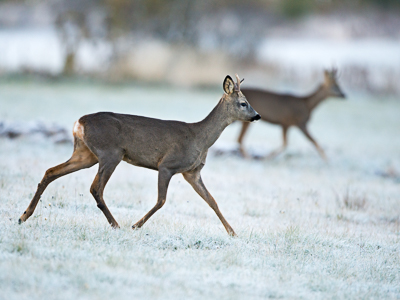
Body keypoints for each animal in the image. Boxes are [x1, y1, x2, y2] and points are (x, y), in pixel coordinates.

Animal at [18, 75, 260, 237]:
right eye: (243, 103)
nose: (257, 116)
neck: (200, 138)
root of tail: (79, 122)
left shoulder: (192, 173)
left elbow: (213, 201)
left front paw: (232, 233)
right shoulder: (167, 165)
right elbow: (161, 200)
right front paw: (136, 225)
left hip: (85, 154)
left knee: (51, 171)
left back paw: (24, 216)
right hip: (110, 153)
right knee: (95, 188)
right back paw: (116, 224)